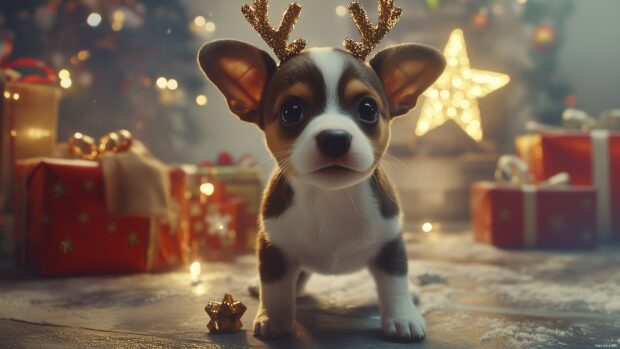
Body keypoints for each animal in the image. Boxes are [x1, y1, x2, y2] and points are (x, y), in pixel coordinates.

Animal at [196, 0, 444, 340]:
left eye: (367, 109)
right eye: (291, 111)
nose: (334, 138)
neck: (332, 198)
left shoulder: (391, 244)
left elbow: (394, 283)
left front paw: (402, 316)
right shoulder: (272, 247)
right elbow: (275, 287)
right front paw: (273, 317)